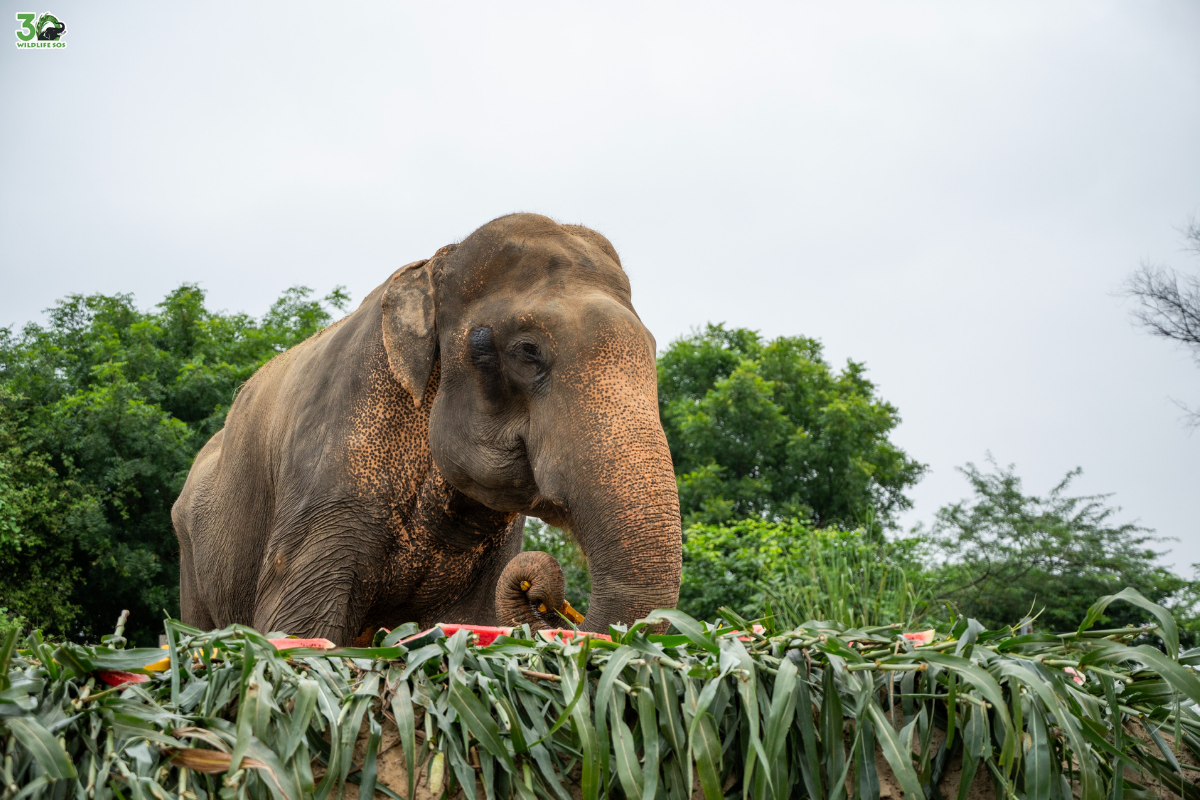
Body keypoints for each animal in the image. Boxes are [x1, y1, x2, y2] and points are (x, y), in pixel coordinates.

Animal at [172, 213, 683, 645]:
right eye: (528, 350)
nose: (545, 601)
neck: (437, 264)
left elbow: (472, 620)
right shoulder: (327, 479)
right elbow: (299, 629)